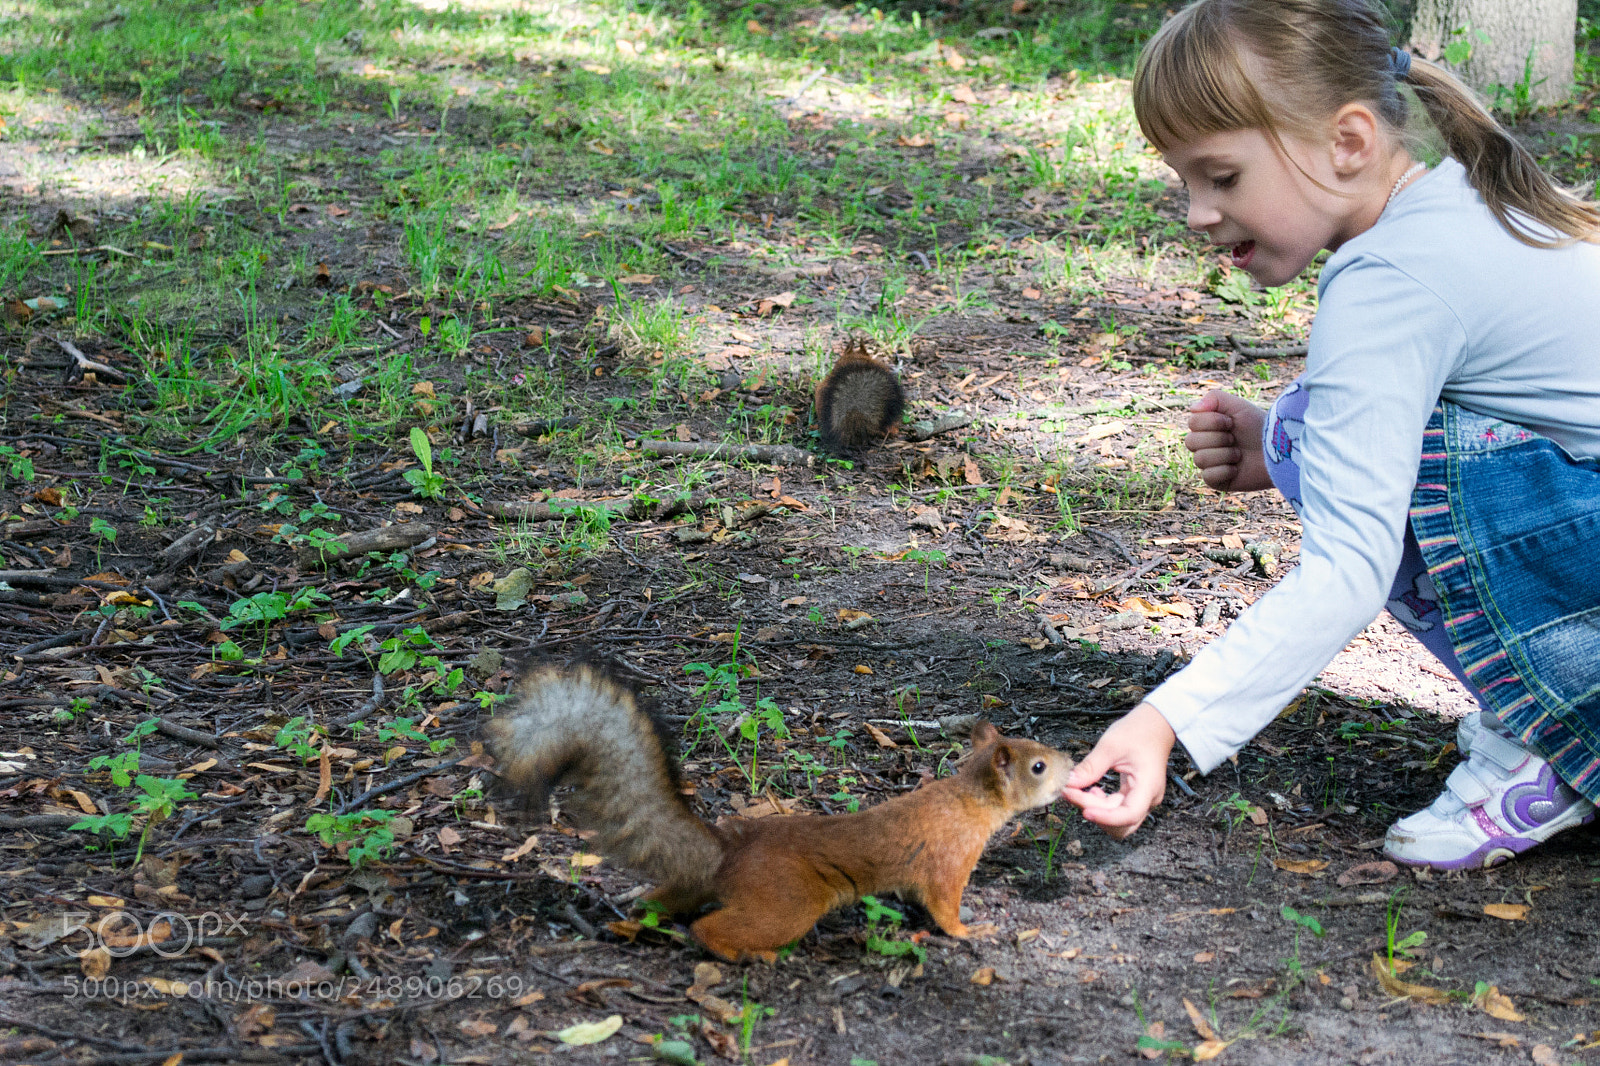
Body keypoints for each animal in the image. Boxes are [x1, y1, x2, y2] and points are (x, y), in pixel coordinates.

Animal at [487, 663, 1075, 962]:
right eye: (1038, 766)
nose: (1073, 765)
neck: (969, 799)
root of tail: (728, 852)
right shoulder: (948, 862)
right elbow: (944, 907)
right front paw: (970, 931)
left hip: (696, 888)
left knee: (663, 901)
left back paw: (633, 920)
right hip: (788, 903)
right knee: (711, 929)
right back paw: (751, 956)